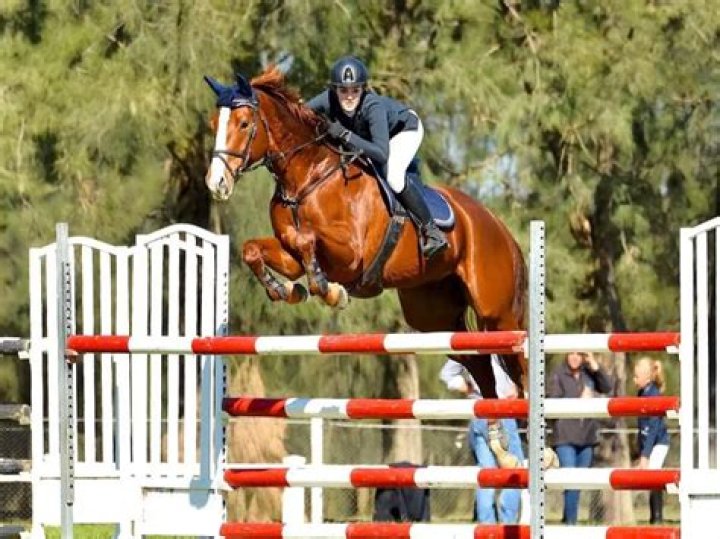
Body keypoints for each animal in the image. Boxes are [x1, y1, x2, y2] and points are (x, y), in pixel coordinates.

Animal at [203, 66, 528, 412]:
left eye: (244, 123)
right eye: (214, 124)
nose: (216, 183)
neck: (308, 178)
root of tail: (498, 225)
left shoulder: (352, 256)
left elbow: (306, 239)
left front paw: (329, 291)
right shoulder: (291, 257)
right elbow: (257, 249)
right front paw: (287, 290)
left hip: (497, 312)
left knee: (520, 362)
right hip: (432, 314)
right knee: (480, 364)